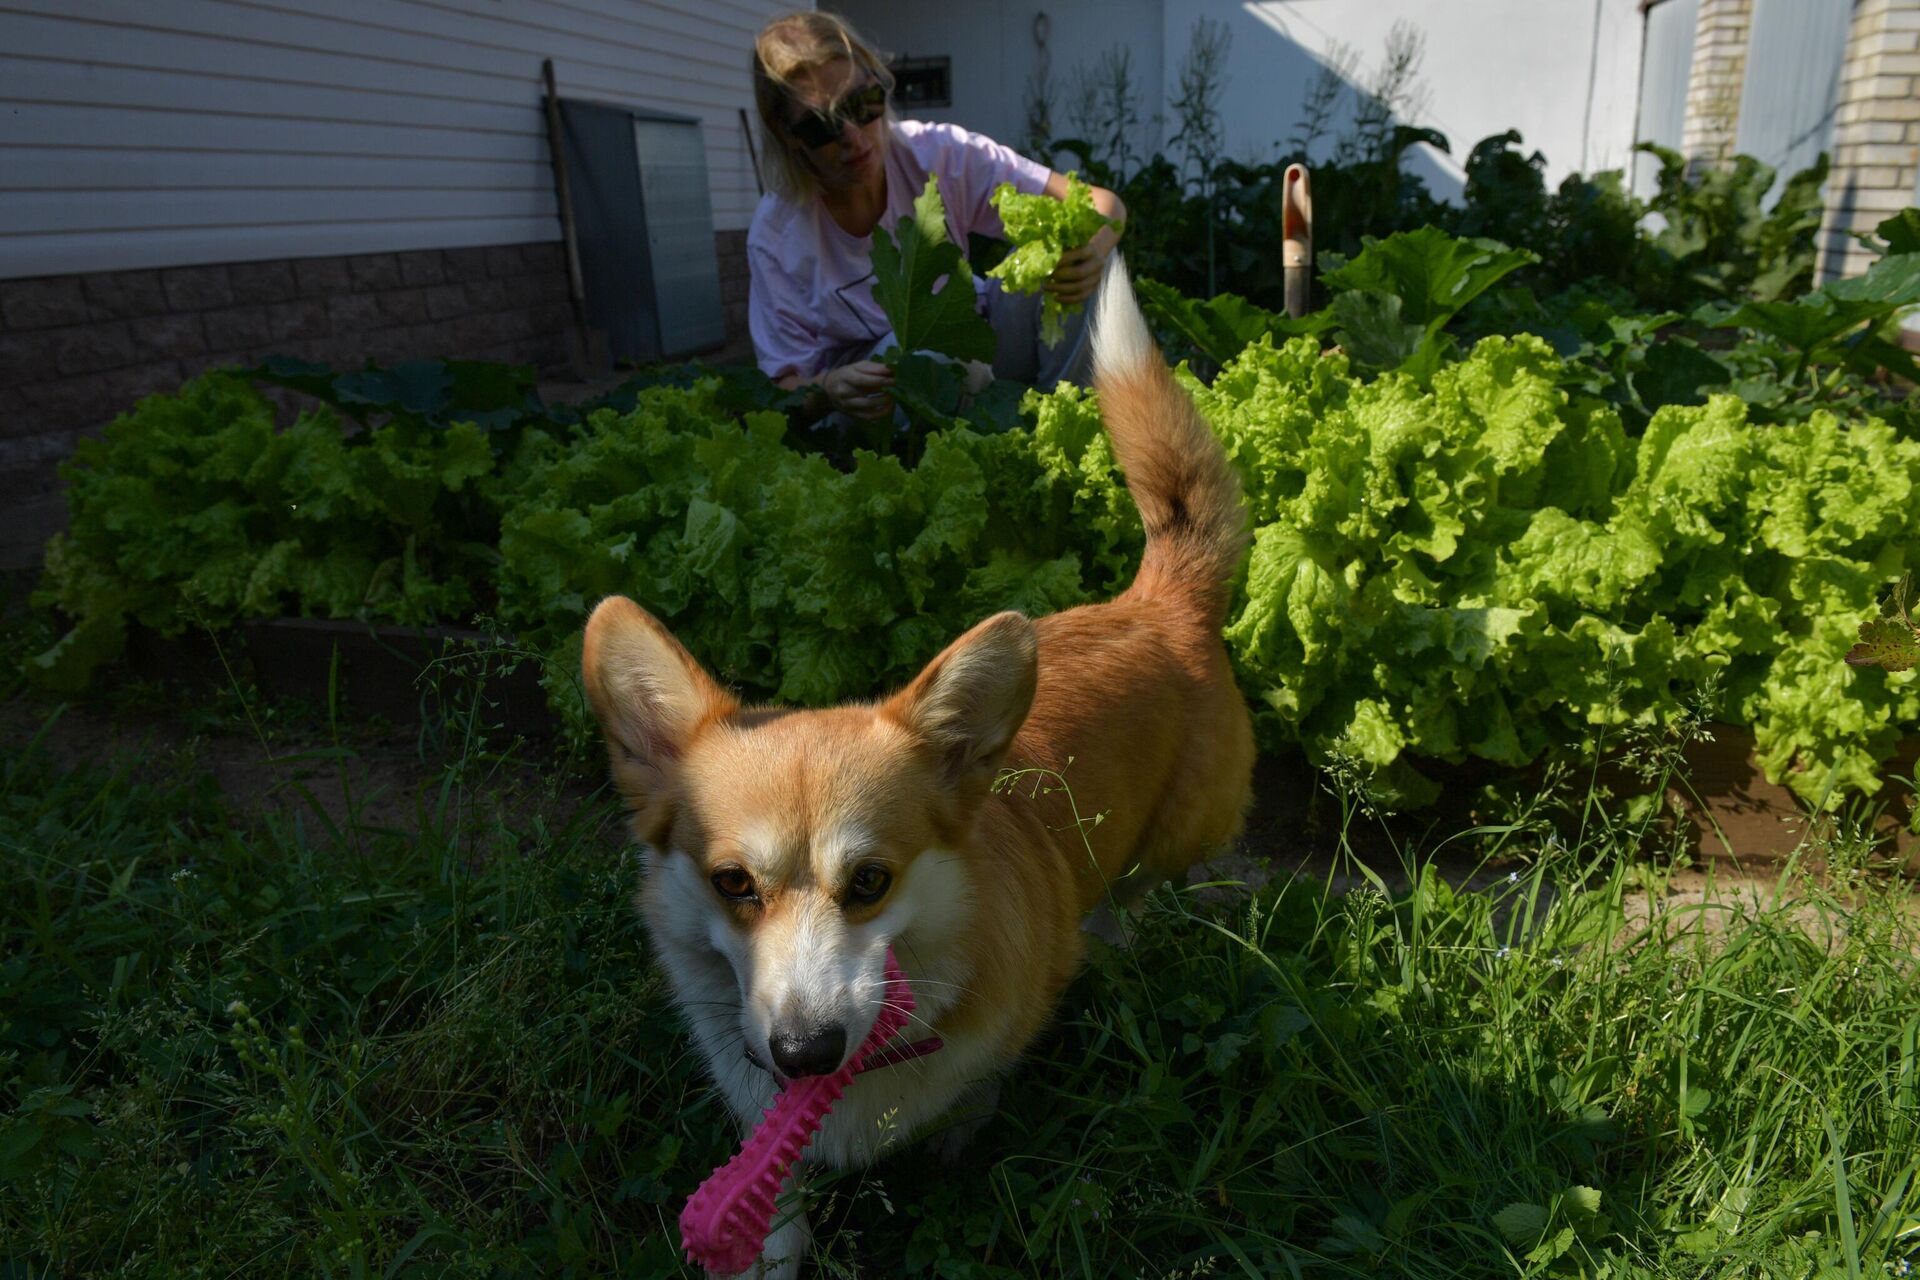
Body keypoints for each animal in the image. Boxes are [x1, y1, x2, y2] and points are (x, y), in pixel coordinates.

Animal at [576, 262, 1251, 1280]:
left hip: (1176, 839)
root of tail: (1158, 602)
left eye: (870, 882)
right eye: (732, 882)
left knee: (1137, 893)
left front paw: (954, 1152)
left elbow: (973, 1107)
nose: (805, 1053)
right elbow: (777, 1198)